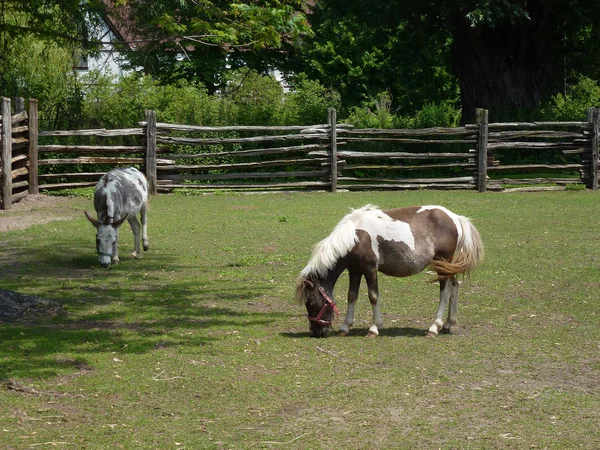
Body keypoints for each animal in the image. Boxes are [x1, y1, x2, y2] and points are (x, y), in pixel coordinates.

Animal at [298, 204, 486, 338]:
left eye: (311, 303)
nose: (316, 333)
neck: (356, 236)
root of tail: (456, 218)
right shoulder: (355, 270)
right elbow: (352, 296)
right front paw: (345, 327)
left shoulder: (370, 269)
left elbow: (373, 296)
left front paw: (374, 328)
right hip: (447, 267)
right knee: (455, 286)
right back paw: (447, 324)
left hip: (442, 264)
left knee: (445, 292)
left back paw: (434, 327)